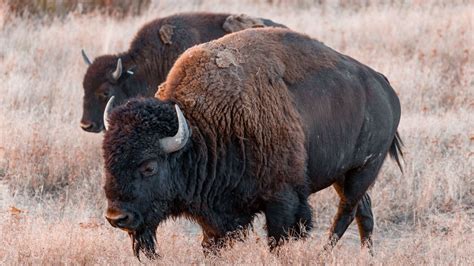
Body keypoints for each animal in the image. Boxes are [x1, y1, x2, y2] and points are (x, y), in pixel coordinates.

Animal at [102, 28, 402, 258]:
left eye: (149, 167)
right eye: (107, 161)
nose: (117, 217)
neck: (203, 127)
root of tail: (384, 86)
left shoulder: (283, 199)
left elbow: (279, 240)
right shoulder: (217, 216)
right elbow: (211, 243)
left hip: (364, 169)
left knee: (346, 212)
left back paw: (324, 254)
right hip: (344, 174)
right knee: (364, 211)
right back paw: (367, 255)